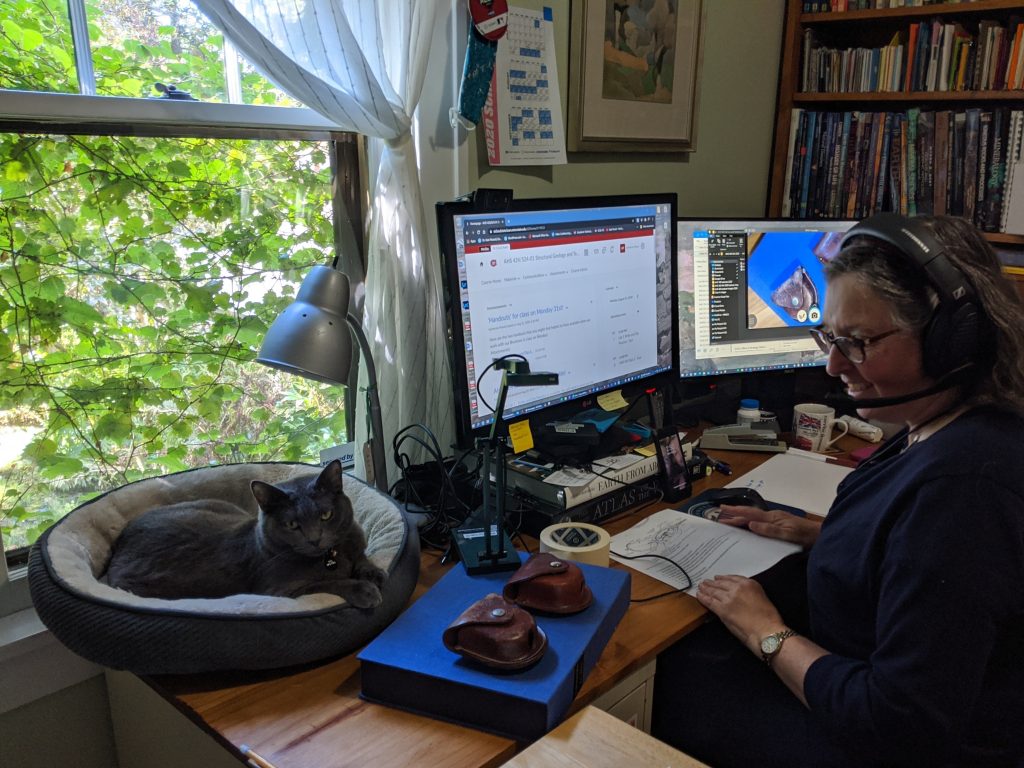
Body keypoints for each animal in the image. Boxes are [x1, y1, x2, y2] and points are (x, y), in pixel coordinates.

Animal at [107, 460, 387, 610]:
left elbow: (362, 556)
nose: (315, 539)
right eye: (292, 524)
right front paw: (365, 589)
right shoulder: (278, 590)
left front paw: (374, 573)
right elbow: (326, 583)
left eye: (326, 515)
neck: (331, 556)